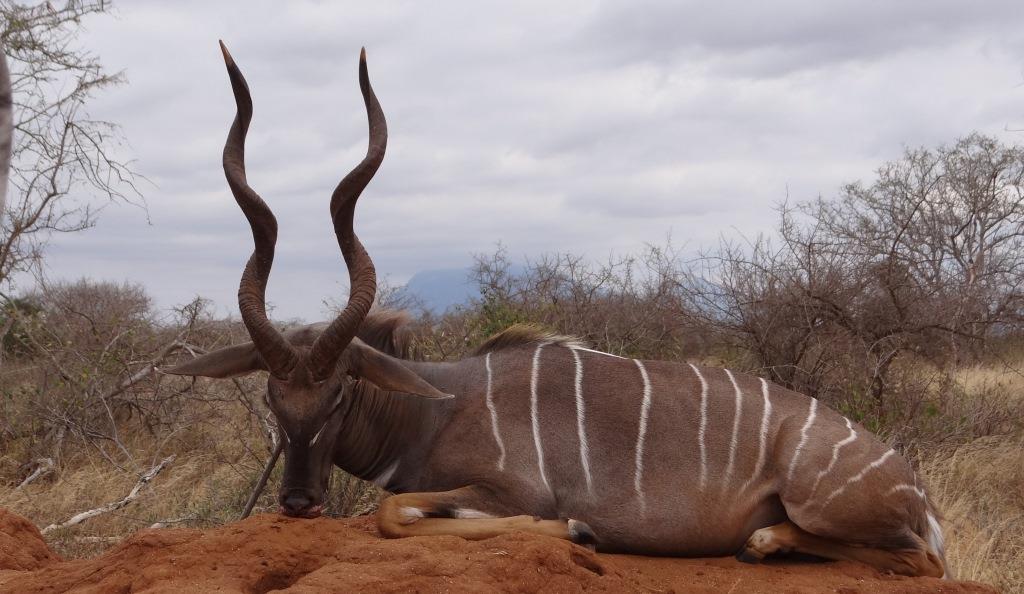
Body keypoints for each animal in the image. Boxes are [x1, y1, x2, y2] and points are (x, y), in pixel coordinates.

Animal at [165, 43, 950, 581]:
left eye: (338, 393)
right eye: (273, 397)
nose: (298, 503)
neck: (434, 406)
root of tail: (913, 486)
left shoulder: (509, 488)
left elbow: (398, 513)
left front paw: (577, 530)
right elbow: (396, 511)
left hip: (829, 506)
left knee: (921, 561)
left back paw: (765, 543)